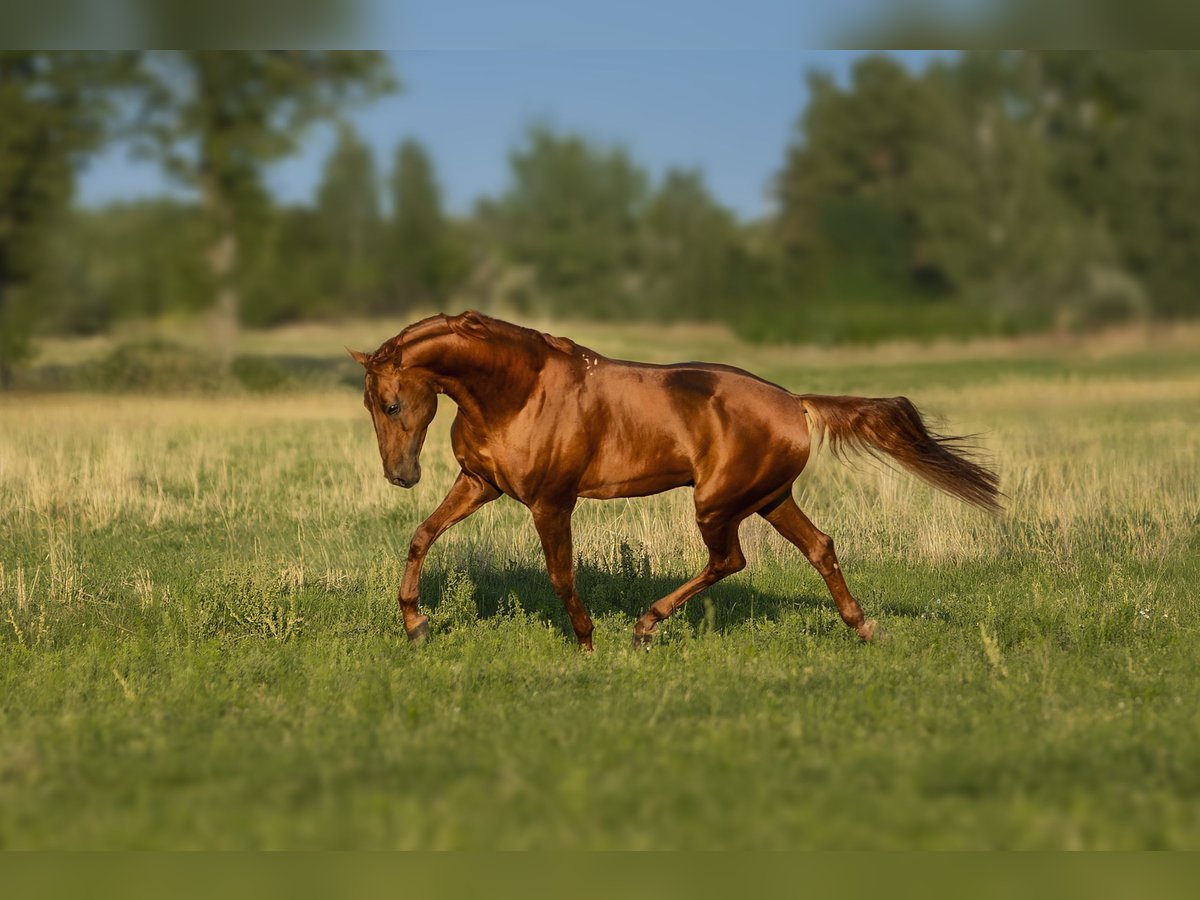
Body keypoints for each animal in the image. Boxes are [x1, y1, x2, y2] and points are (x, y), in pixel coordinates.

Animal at [350, 309, 1003, 648]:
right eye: (369, 405)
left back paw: (645, 626)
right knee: (819, 546)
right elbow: (421, 536)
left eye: (390, 403)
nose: (400, 475)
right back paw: (862, 628)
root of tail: (796, 403)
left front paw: (587, 639)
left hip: (718, 503)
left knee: (730, 560)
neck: (518, 392)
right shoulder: (478, 483)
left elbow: (561, 574)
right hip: (769, 498)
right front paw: (416, 625)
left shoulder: (551, 502)